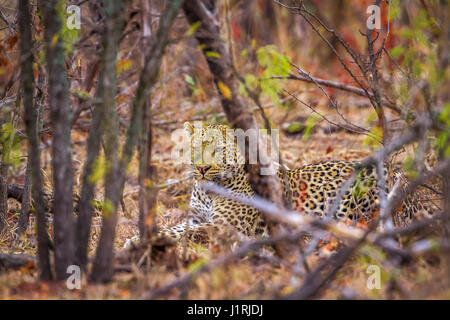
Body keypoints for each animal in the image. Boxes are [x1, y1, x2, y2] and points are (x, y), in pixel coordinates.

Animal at [160, 122, 430, 242]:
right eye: (195, 148)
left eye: (218, 150)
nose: (202, 168)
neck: (207, 191)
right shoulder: (196, 218)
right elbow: (176, 228)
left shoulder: (223, 226)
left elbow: (179, 233)